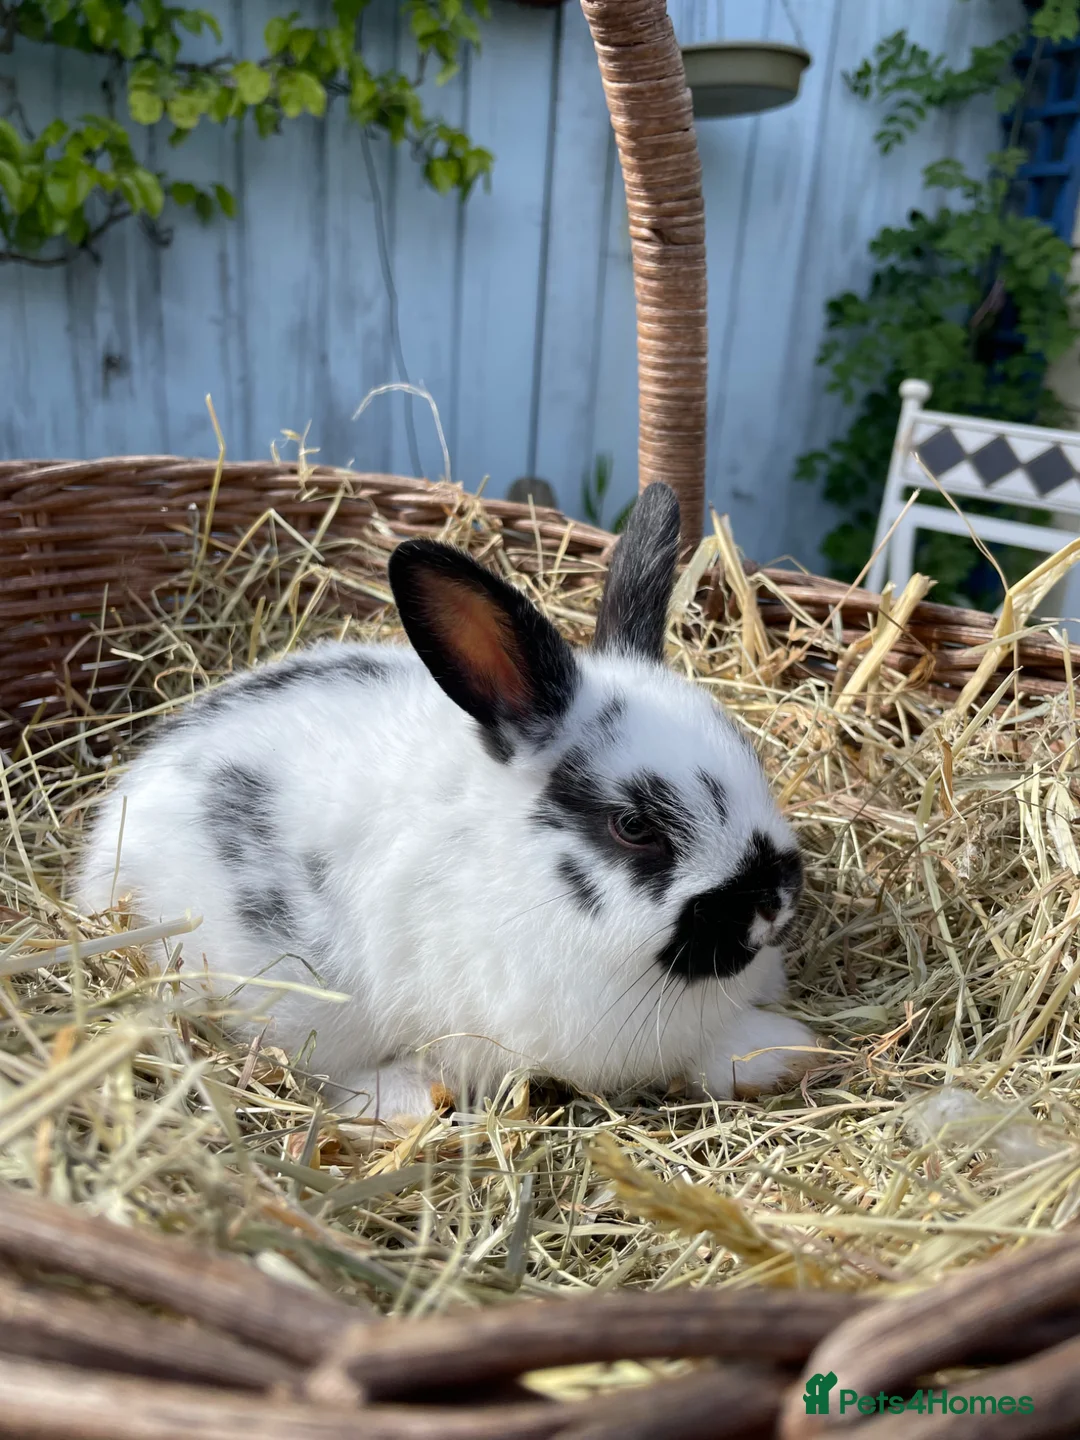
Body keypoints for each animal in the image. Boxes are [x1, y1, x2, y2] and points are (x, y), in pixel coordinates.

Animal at [76, 482, 819, 1122]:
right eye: (634, 826)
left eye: (750, 754)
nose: (773, 902)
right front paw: (783, 1053)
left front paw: (792, 1049)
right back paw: (407, 1100)